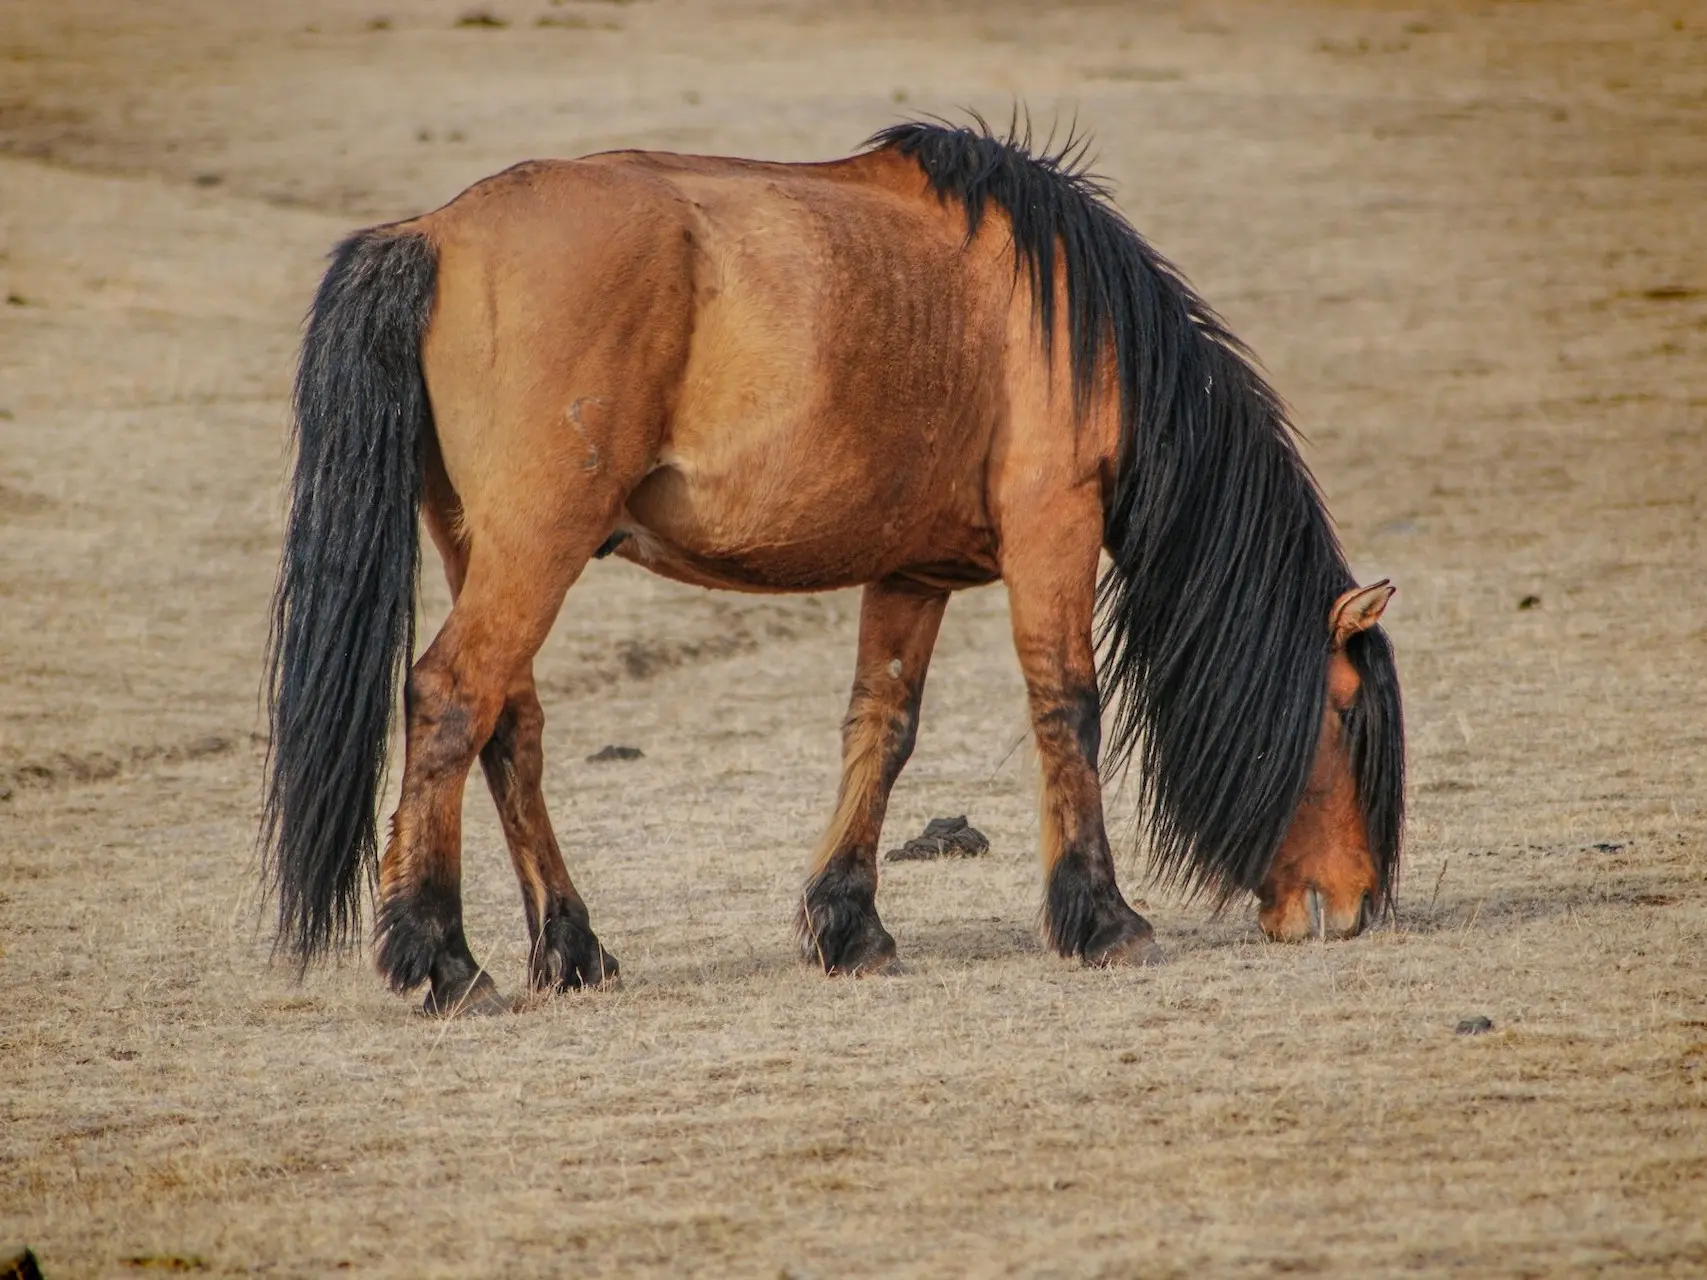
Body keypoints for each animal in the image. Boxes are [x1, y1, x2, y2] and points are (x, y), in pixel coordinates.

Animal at [266, 122, 1406, 1024]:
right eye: (1348, 716)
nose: (1354, 910)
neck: (1077, 324)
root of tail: (434, 234)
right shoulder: (1054, 528)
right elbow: (1066, 709)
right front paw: (1102, 917)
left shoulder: (913, 572)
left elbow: (883, 727)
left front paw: (849, 925)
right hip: (537, 545)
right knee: (452, 698)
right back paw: (441, 957)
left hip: (484, 545)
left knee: (511, 724)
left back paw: (573, 947)